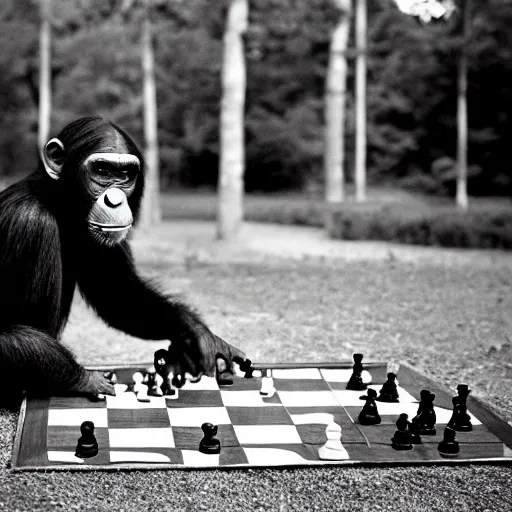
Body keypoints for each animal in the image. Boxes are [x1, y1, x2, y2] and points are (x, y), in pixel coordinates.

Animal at [0, 115, 245, 404]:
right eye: (102, 171)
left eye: (125, 175)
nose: (115, 200)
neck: (55, 201)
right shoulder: (30, 222)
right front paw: (87, 379)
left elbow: (118, 294)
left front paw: (197, 337)